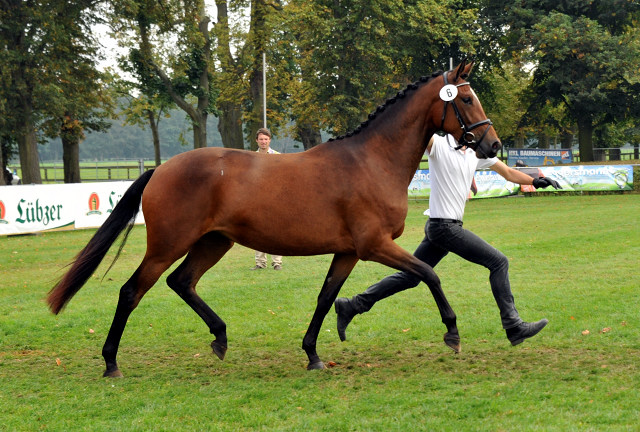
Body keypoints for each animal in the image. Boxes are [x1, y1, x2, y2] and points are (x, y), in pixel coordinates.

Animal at [48, 59, 500, 376]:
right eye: (464, 99)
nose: (492, 145)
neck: (372, 161)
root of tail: (161, 169)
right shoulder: (375, 245)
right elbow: (429, 274)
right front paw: (452, 332)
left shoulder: (349, 252)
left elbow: (326, 298)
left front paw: (313, 354)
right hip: (167, 244)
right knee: (132, 291)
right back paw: (111, 362)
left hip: (214, 241)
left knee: (182, 282)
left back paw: (220, 338)